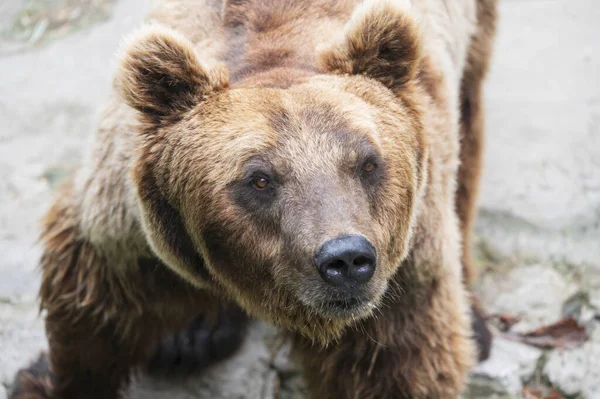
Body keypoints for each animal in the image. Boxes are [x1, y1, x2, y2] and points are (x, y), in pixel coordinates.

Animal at [9, 0, 496, 398]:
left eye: (368, 163)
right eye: (260, 179)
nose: (346, 259)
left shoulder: (403, 261)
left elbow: (397, 360)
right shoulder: (131, 225)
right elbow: (94, 307)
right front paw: (44, 379)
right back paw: (192, 337)